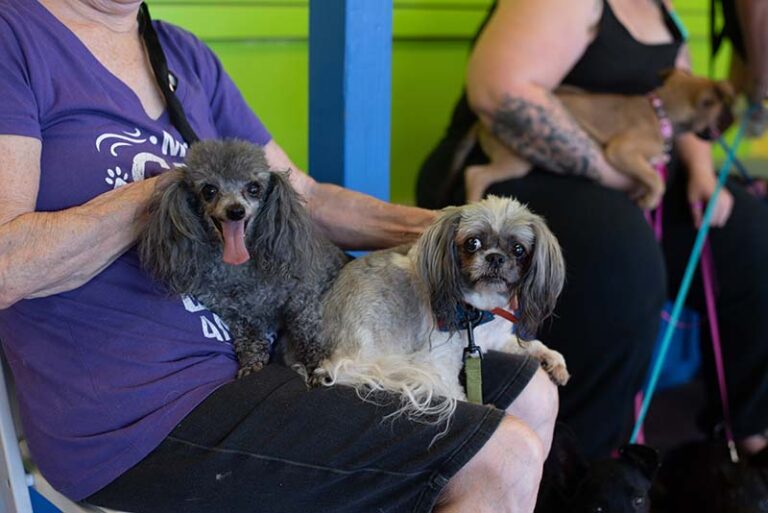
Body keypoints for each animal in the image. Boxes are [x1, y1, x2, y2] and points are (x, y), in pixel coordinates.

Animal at [316, 196, 568, 424]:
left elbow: (528, 344)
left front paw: (551, 358)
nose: (495, 257)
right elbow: (455, 392)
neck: (478, 310)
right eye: (472, 243)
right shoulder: (436, 363)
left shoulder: (495, 339)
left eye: (518, 249)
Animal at [460, 70, 736, 210]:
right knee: (474, 174)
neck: (662, 112)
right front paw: (650, 199)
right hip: (515, 161)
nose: (724, 128)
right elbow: (656, 179)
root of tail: (479, 122)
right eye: (720, 113)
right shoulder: (622, 151)